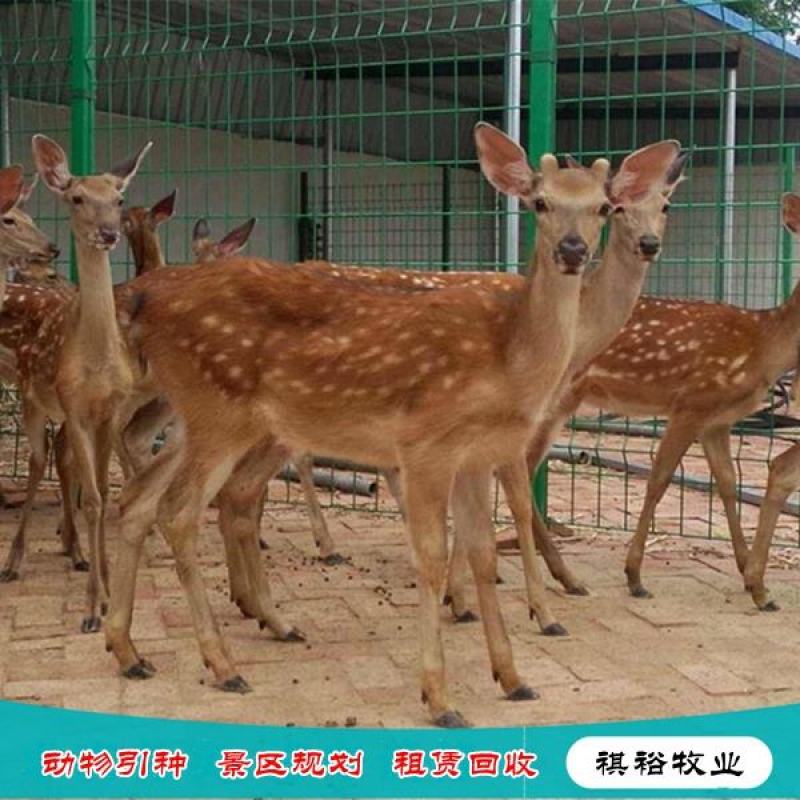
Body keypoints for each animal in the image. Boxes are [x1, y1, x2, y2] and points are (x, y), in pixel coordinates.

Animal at [0, 135, 151, 638]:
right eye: (77, 198)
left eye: (119, 198)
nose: (108, 233)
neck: (97, 362)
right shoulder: (76, 407)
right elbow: (94, 502)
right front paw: (91, 608)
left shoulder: (108, 414)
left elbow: (102, 493)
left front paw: (104, 592)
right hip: (32, 398)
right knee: (35, 460)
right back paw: (13, 562)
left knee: (57, 461)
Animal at [102, 122, 642, 728]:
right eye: (540, 202)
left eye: (604, 207)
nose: (572, 250)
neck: (507, 359)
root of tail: (144, 297)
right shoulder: (426, 445)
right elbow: (431, 557)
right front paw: (440, 698)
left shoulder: (476, 456)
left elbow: (481, 553)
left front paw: (512, 678)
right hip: (217, 411)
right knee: (179, 512)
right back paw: (222, 664)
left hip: (205, 420)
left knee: (140, 499)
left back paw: (132, 650)